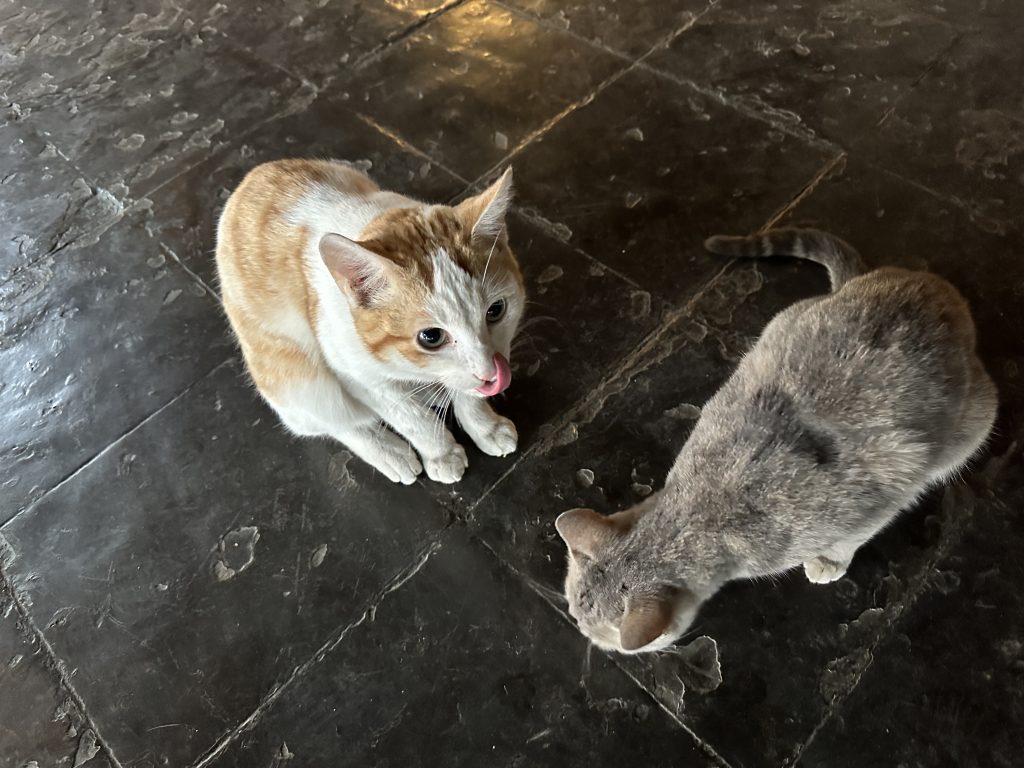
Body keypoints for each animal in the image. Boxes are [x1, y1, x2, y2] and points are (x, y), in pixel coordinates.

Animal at [215, 160, 525, 484]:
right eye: (431, 337)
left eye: (495, 311)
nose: (491, 373)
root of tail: (248, 182)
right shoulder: (355, 374)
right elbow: (411, 418)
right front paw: (440, 452)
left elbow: (465, 393)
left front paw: (485, 427)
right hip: (298, 380)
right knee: (337, 422)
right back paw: (389, 451)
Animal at [556, 228, 997, 654]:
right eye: (575, 611)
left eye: (596, 630)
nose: (582, 632)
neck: (700, 505)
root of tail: (918, 282)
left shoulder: (877, 504)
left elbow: (849, 539)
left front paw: (828, 561)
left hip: (972, 424)